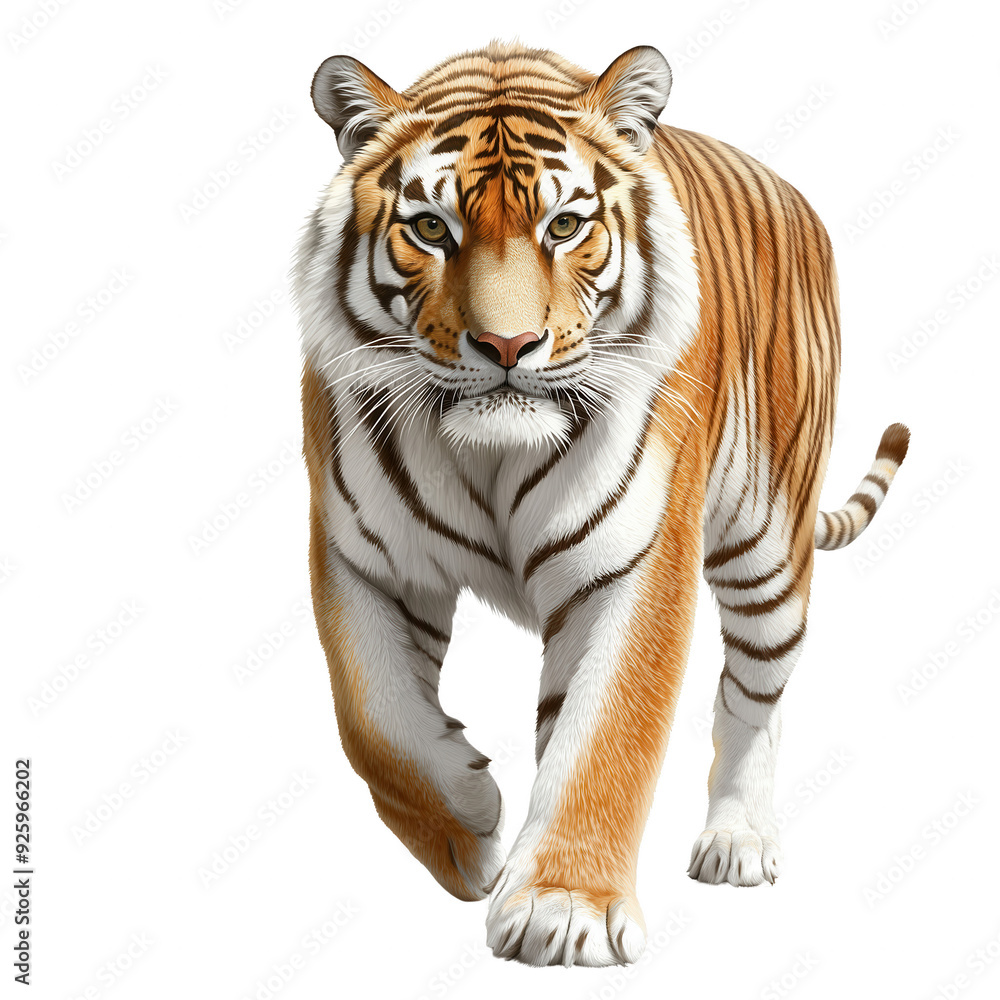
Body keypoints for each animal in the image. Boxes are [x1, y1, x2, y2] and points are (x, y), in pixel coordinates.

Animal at [293, 40, 910, 968]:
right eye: (432, 229)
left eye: (565, 227)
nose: (508, 344)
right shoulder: (361, 555)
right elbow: (376, 720)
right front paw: (471, 828)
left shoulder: (637, 563)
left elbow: (611, 733)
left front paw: (562, 908)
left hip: (768, 548)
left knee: (754, 694)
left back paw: (738, 840)